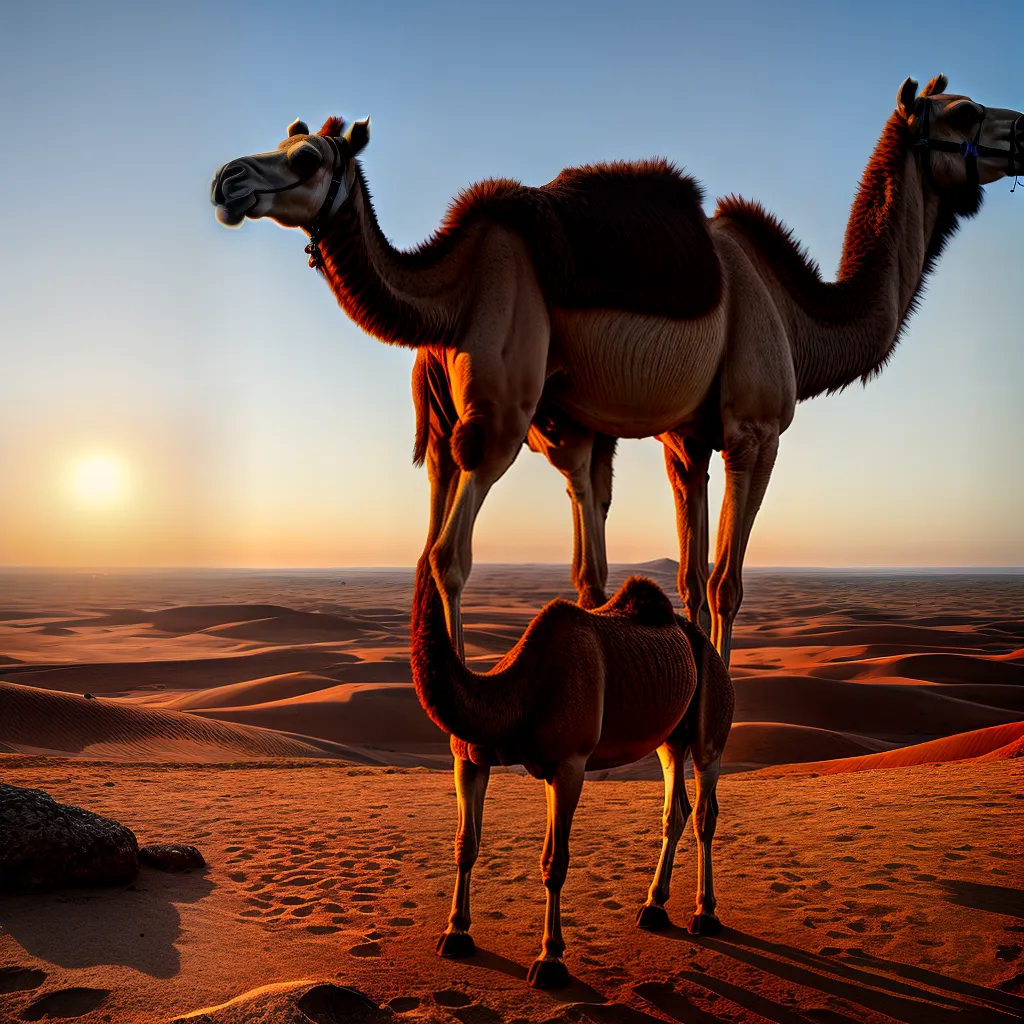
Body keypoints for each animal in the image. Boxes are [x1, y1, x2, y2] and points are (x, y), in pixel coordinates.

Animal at [211, 76, 1022, 663]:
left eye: (305, 152)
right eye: (966, 112)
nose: (227, 180)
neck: (798, 316)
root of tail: (454, 271)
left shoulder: (684, 440)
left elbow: (687, 575)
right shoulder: (756, 428)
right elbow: (725, 583)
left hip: (453, 429)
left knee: (436, 545)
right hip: (502, 414)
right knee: (449, 555)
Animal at [409, 560, 734, 988]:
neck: (517, 691)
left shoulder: (569, 764)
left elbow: (554, 861)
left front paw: (550, 960)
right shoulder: (470, 758)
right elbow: (466, 844)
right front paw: (455, 934)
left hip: (711, 714)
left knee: (704, 810)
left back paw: (705, 914)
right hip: (669, 736)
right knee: (675, 808)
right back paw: (653, 907)